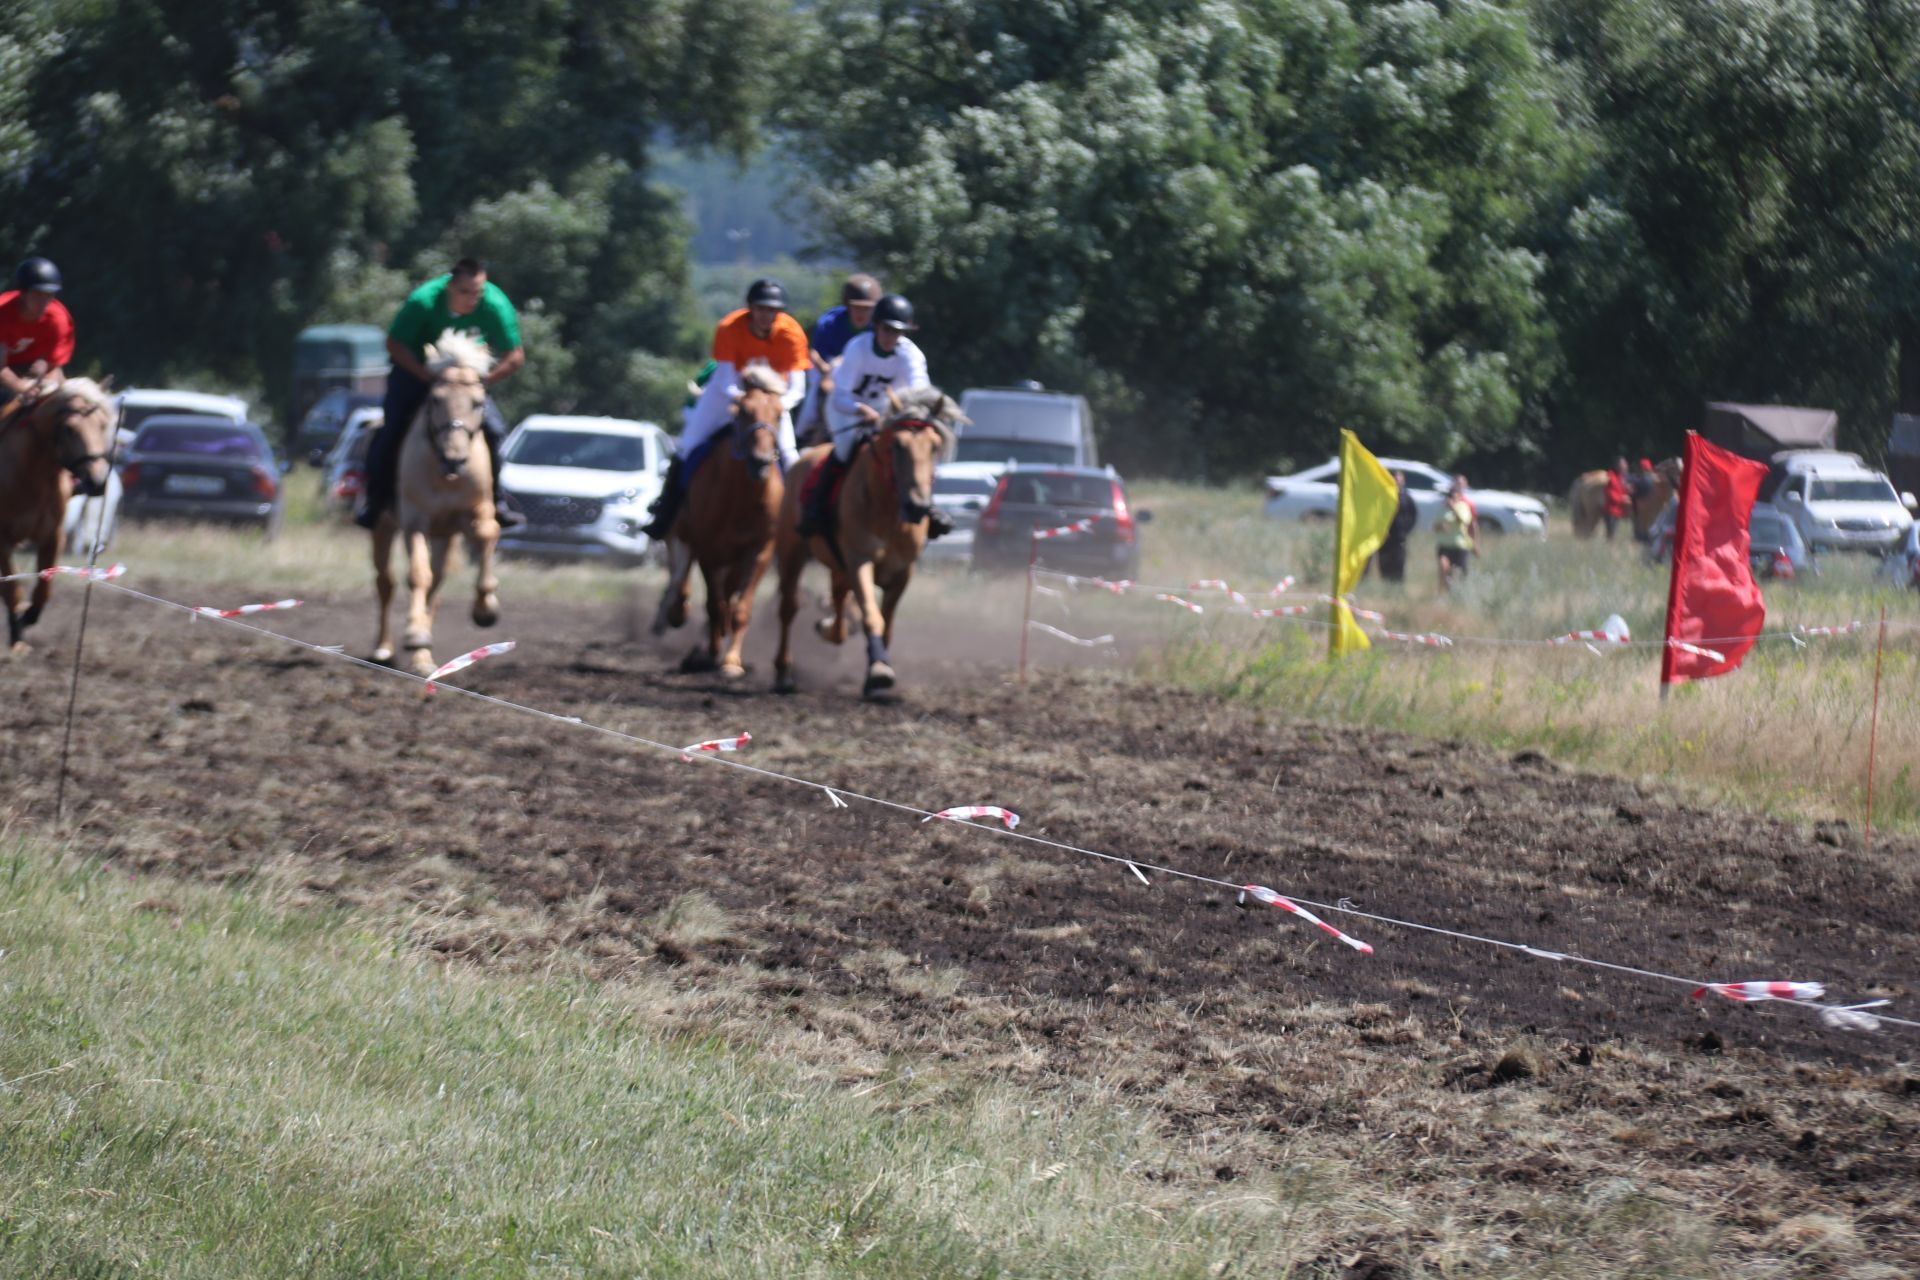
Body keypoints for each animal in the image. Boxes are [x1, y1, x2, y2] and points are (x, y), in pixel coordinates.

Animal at [0, 376, 115, 644]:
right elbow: (11, 588)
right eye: (70, 429)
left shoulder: (53, 536)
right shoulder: (2, 541)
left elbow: (45, 583)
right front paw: (17, 631)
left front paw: (29, 615)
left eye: (103, 425)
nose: (97, 482)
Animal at [368, 330, 503, 675]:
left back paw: (423, 658)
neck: (444, 474)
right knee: (386, 582)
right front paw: (414, 634)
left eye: (478, 403)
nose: (454, 460)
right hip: (384, 527)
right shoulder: (415, 520)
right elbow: (417, 575)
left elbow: (488, 534)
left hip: (444, 535)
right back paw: (385, 648)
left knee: (435, 585)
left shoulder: (475, 512)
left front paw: (485, 609)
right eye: (435, 399)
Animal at [652, 368, 787, 679]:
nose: (761, 462)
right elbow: (714, 604)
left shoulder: (760, 551)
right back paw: (675, 613)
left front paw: (732, 661)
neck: (741, 496)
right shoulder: (708, 549)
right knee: (682, 579)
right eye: (744, 412)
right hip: (682, 535)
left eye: (779, 414)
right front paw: (713, 653)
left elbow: (740, 608)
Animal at [771, 385, 967, 694]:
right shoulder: (860, 561)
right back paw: (783, 672)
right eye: (897, 445)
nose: (917, 507)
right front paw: (879, 670)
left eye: (934, 446)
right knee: (789, 607)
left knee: (838, 601)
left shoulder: (902, 572)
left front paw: (878, 669)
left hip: (838, 566)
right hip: (793, 552)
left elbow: (886, 623)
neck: (888, 513)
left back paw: (828, 628)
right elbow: (872, 617)